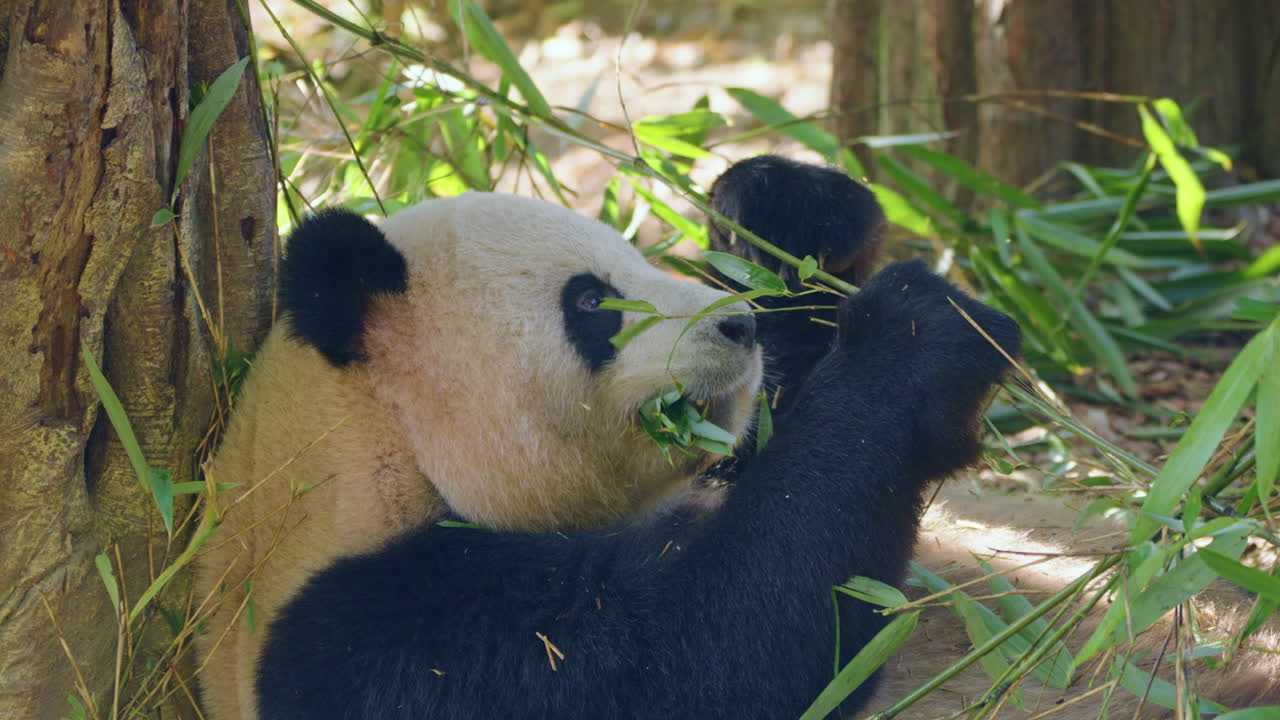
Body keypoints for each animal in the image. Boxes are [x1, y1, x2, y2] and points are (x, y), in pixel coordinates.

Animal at [192, 156, 1019, 720]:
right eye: (592, 301)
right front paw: (919, 336)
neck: (376, 443)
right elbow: (712, 650)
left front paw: (786, 211)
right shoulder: (383, 633)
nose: (737, 327)